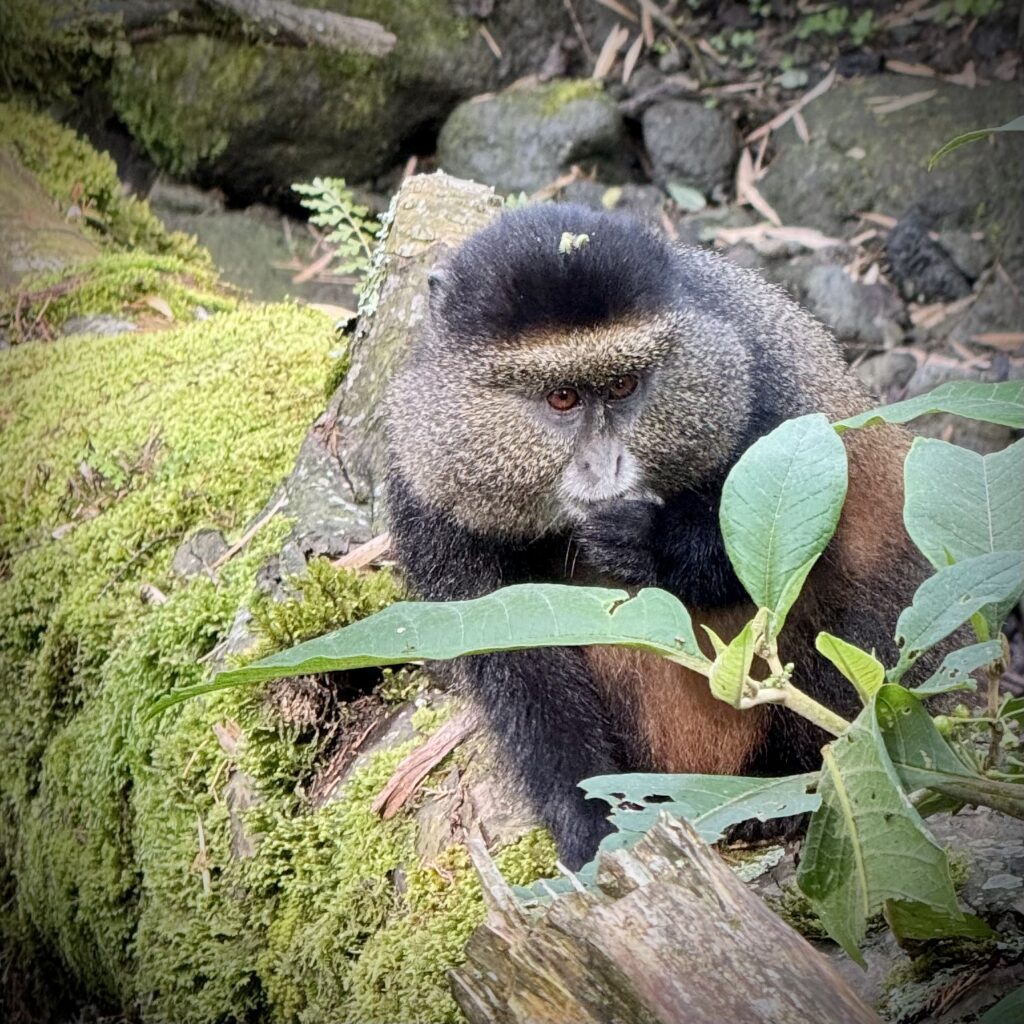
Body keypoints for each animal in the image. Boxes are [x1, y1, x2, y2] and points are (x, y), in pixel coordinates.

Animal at [383, 203, 936, 870]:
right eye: (562, 397)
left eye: (623, 387)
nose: (607, 464)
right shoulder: (430, 501)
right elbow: (519, 666)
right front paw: (588, 826)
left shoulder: (771, 392)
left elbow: (794, 540)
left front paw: (646, 541)